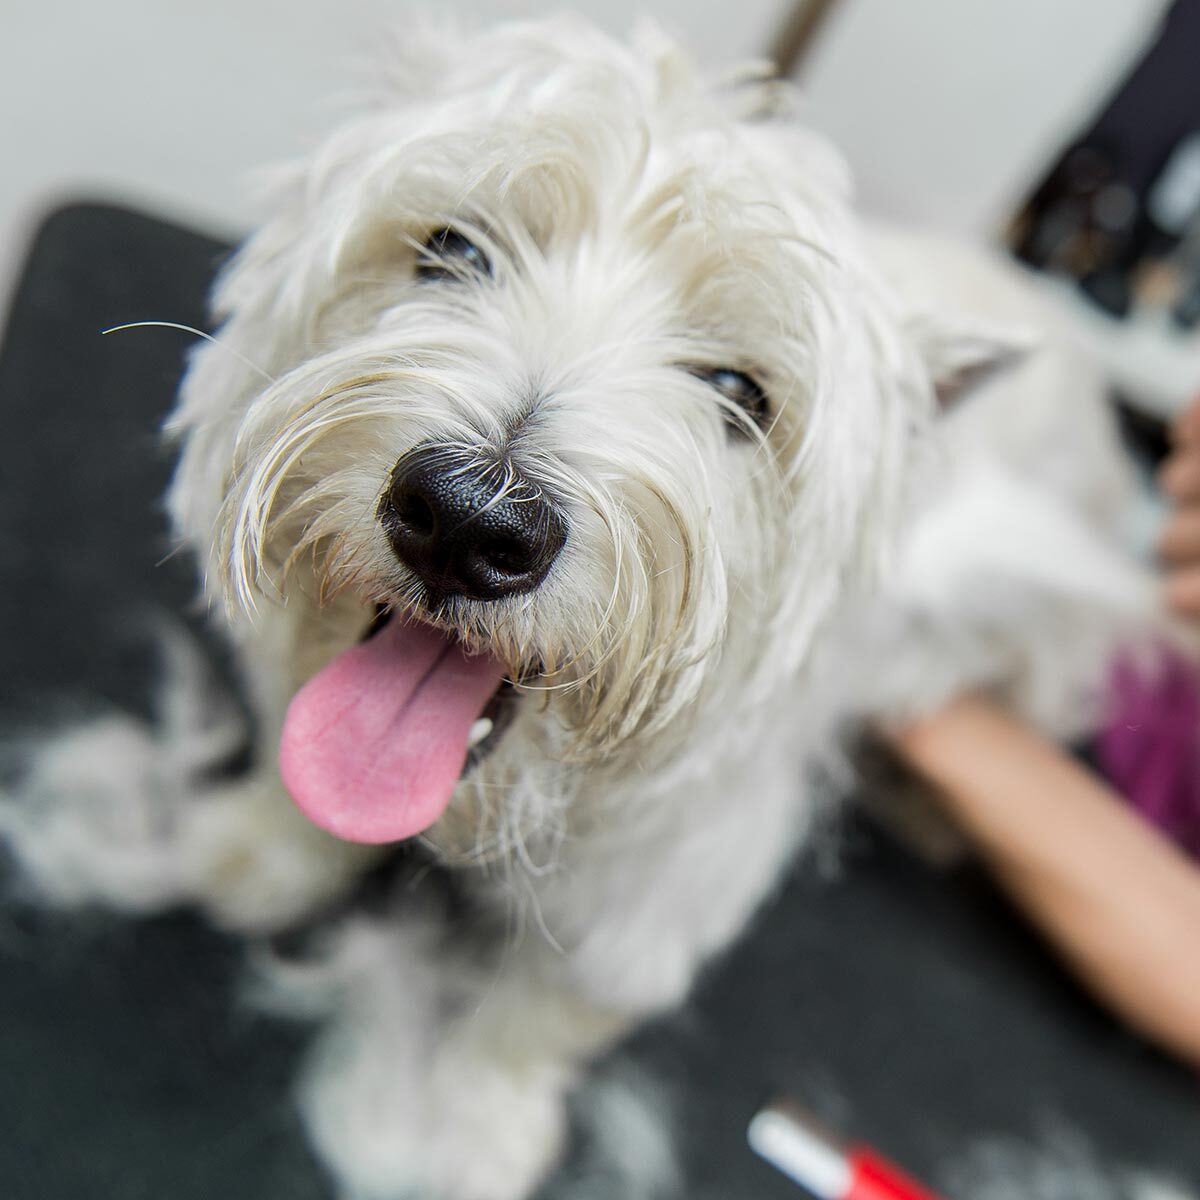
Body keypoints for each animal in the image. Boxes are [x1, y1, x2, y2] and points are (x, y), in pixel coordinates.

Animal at [0, 16, 1176, 1200]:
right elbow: (306, 782)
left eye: (740, 394)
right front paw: (254, 849)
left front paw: (475, 1129)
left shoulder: (661, 895)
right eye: (452, 250)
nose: (467, 517)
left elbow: (547, 1012)